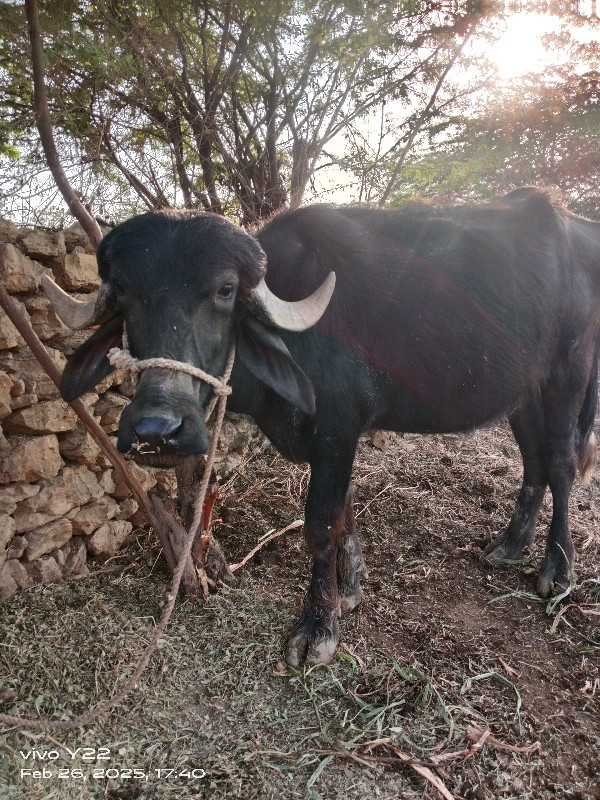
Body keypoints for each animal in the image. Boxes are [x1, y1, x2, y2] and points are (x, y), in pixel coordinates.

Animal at [44, 188, 596, 664]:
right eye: (123, 294)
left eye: (224, 290)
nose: (157, 429)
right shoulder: (335, 440)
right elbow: (346, 512)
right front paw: (349, 588)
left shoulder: (337, 429)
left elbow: (321, 524)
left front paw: (317, 626)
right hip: (524, 393)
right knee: (534, 464)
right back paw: (510, 546)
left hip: (567, 376)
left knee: (562, 464)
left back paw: (557, 568)